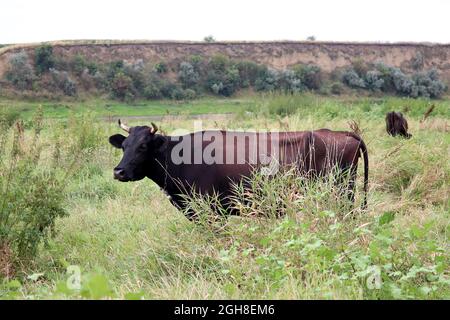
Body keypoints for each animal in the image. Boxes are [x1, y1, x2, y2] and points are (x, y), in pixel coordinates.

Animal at [110, 120, 370, 220]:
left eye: (143, 146)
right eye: (123, 145)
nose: (119, 172)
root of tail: (341, 133)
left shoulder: (211, 212)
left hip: (340, 197)